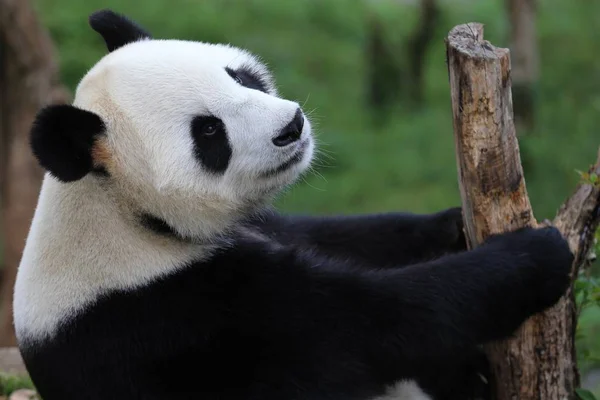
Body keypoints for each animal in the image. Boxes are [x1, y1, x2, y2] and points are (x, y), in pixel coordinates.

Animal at [14, 9, 576, 400]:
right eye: (209, 132)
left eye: (239, 76)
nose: (292, 127)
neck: (125, 213)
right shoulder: (178, 316)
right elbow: (375, 324)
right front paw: (538, 253)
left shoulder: (250, 240)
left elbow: (343, 237)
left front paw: (455, 225)